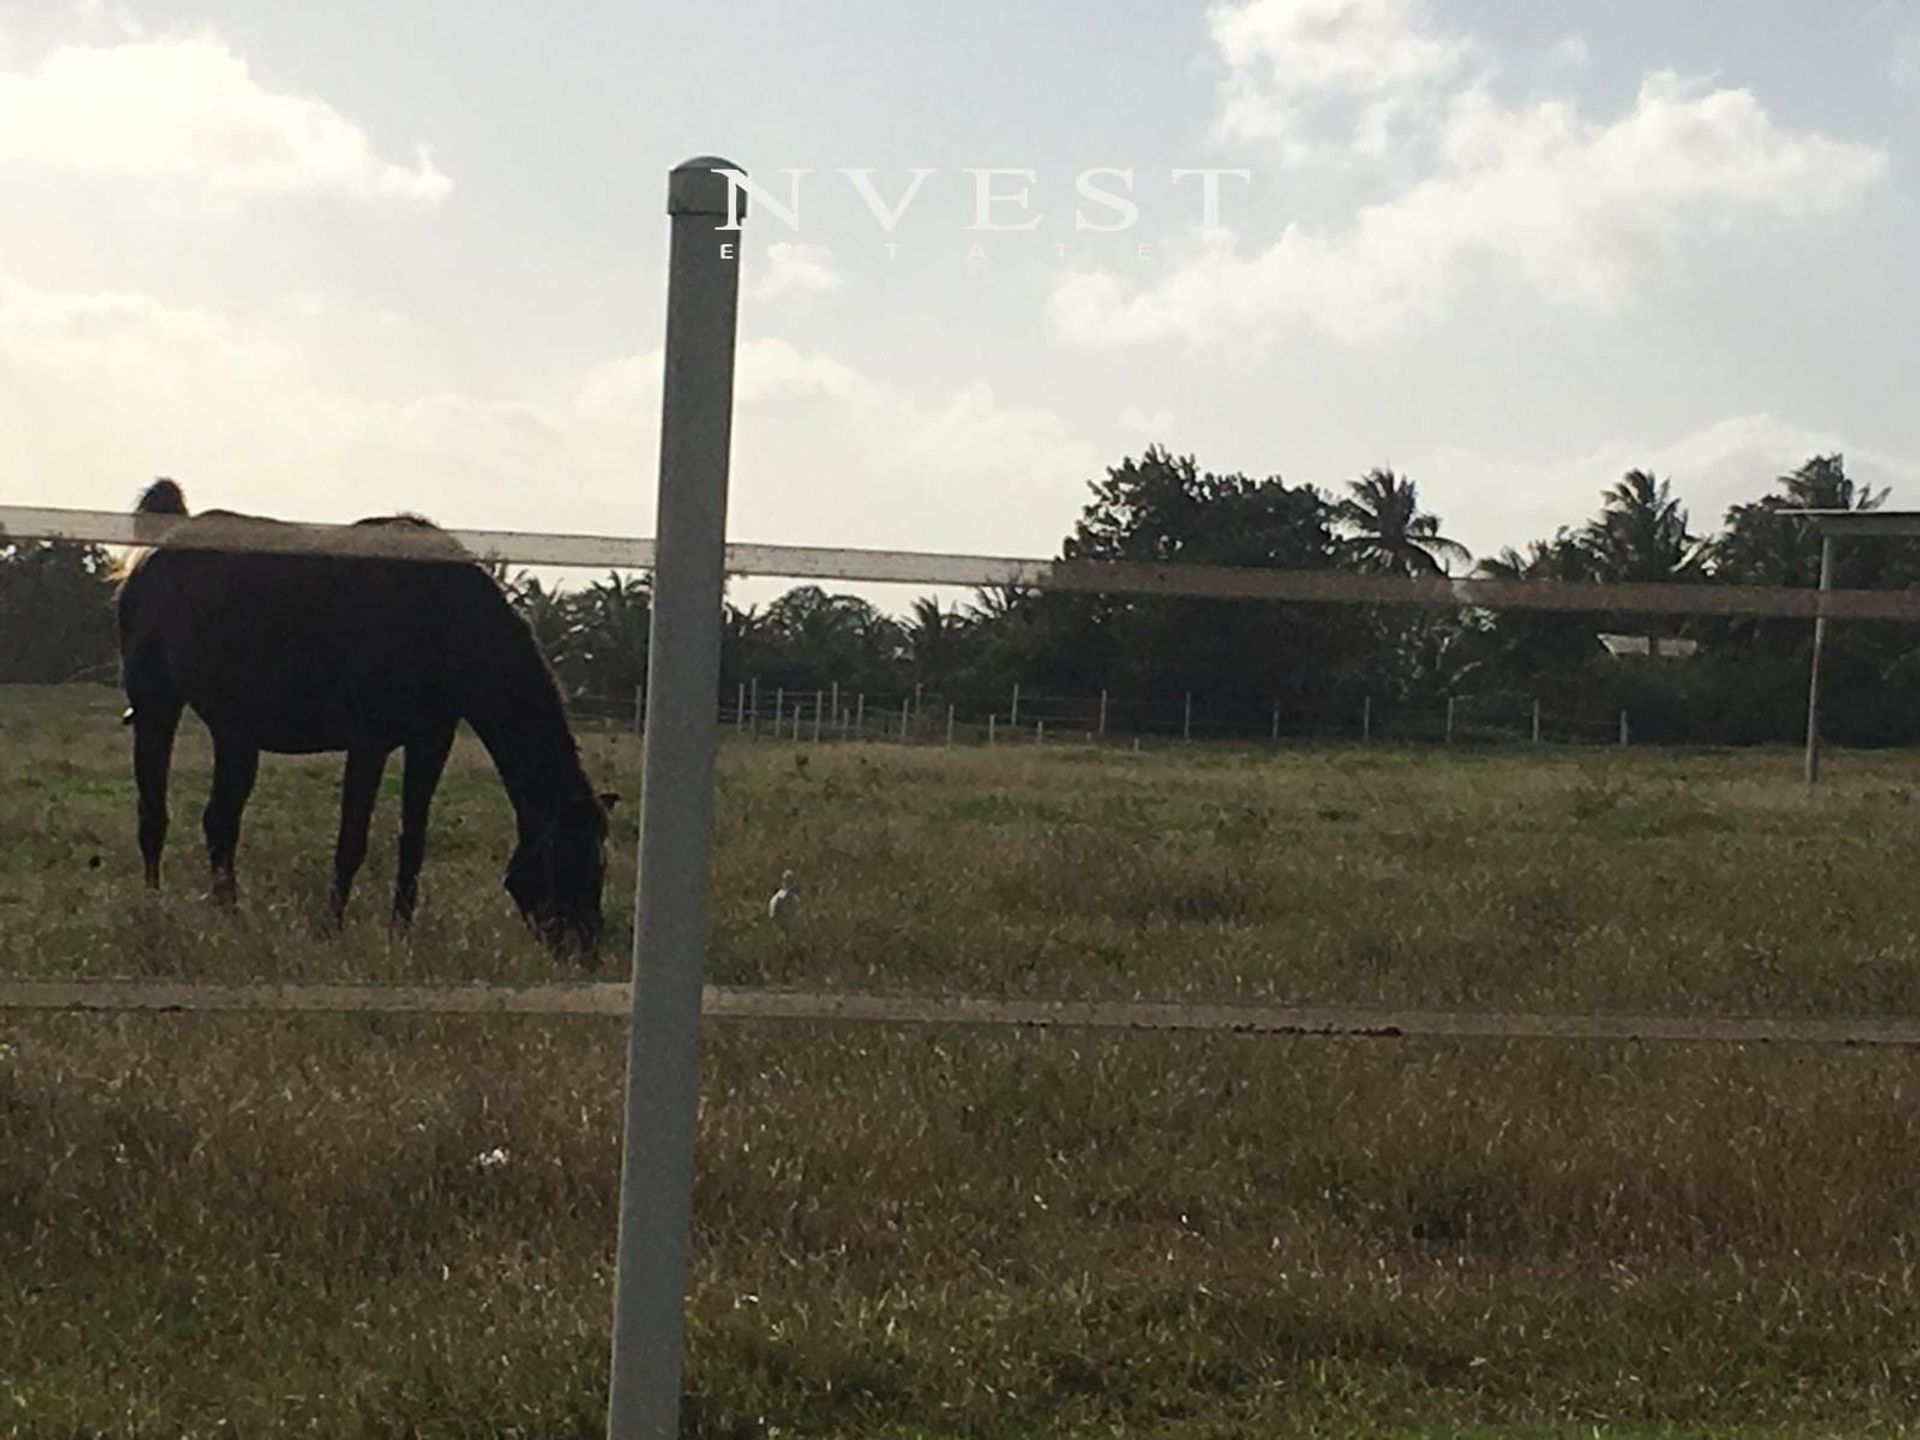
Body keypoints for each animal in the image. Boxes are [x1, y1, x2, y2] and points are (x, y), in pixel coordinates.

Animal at [118, 480, 614, 963]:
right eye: (565, 862)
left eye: (599, 866)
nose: (587, 953)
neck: (444, 615)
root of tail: (158, 550)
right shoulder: (369, 743)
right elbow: (351, 842)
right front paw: (329, 930)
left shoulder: (431, 740)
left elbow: (413, 841)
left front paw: (401, 933)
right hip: (158, 707)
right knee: (154, 815)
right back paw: (154, 908)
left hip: (235, 732)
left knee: (219, 823)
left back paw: (228, 918)